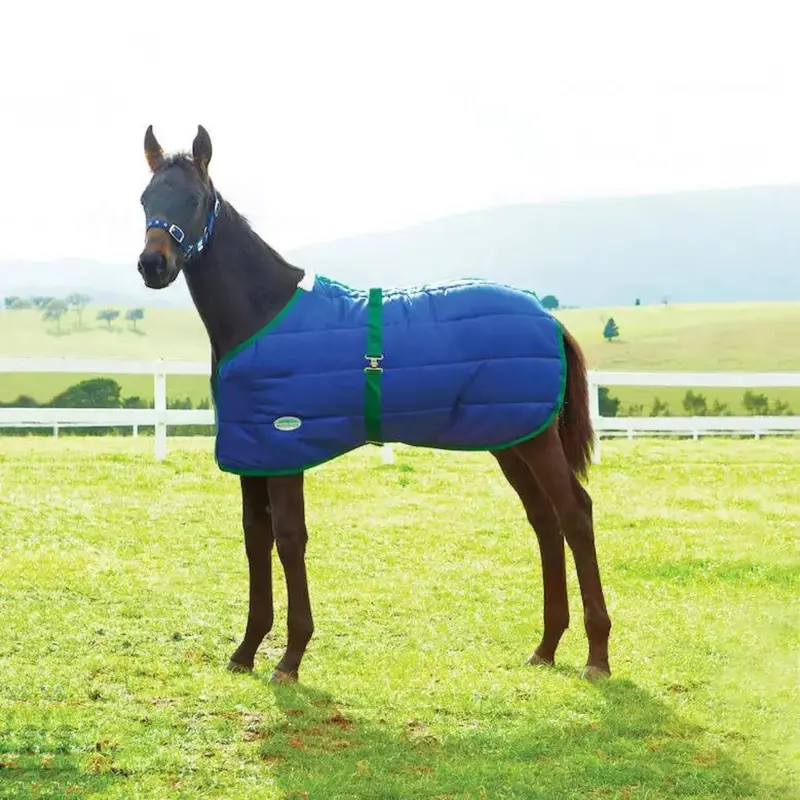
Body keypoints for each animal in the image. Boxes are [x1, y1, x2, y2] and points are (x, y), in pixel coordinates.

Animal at [136, 124, 612, 684]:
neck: (264, 313)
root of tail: (549, 318)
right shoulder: (252, 455)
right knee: (545, 521)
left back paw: (597, 656)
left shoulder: (285, 449)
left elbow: (289, 539)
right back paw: (546, 646)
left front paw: (290, 658)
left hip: (535, 442)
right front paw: (246, 650)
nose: (153, 265)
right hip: (511, 440)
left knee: (575, 514)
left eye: (193, 199)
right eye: (144, 198)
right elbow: (256, 539)